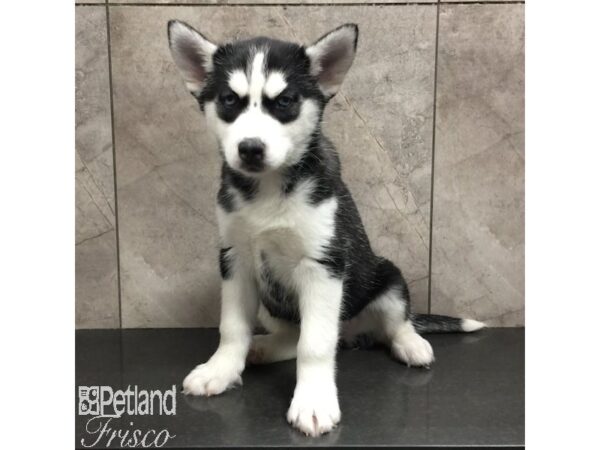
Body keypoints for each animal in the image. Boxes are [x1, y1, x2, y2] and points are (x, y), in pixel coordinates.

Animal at [166, 21, 486, 436]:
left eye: (285, 101)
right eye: (229, 100)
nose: (250, 148)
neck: (270, 189)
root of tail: (352, 333)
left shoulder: (322, 264)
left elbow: (315, 345)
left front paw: (313, 401)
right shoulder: (235, 259)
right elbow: (233, 328)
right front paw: (220, 370)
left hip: (388, 276)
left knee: (394, 323)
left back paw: (412, 345)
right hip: (271, 302)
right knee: (293, 334)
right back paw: (263, 347)